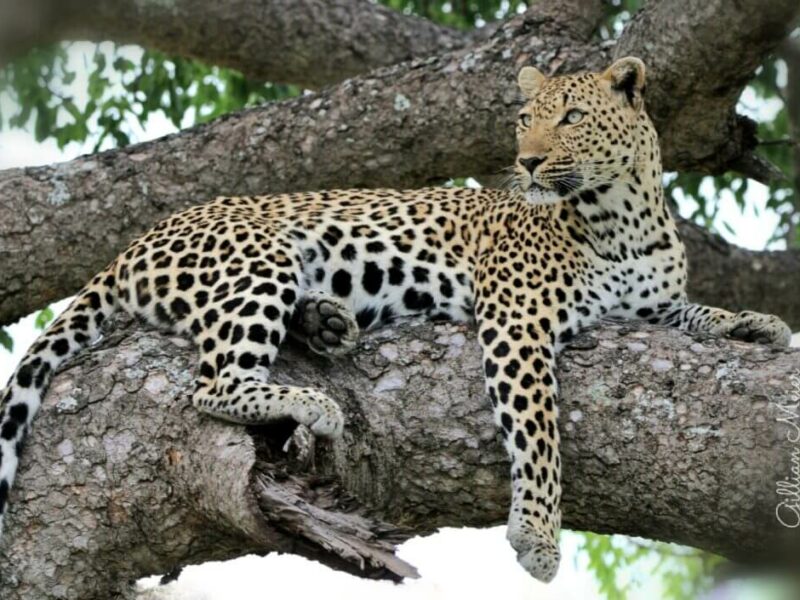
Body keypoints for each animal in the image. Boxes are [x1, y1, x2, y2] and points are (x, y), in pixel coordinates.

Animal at [0, 56, 791, 583]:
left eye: (571, 118)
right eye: (524, 120)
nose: (528, 163)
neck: (623, 218)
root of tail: (133, 243)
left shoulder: (653, 304)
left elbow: (697, 311)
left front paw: (757, 323)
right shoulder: (518, 319)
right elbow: (539, 432)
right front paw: (538, 534)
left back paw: (326, 323)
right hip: (258, 256)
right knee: (213, 382)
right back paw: (310, 401)